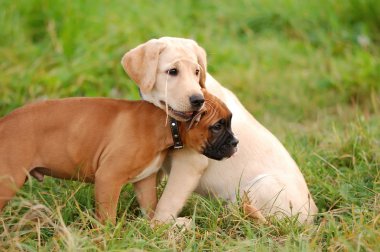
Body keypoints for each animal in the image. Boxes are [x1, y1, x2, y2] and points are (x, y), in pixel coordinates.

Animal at [0, 89, 238, 222]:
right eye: (217, 126)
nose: (235, 143)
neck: (164, 124)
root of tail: (4, 123)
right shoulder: (108, 178)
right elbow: (107, 218)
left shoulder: (144, 180)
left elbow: (150, 208)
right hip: (7, 182)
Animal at [122, 36, 318, 223]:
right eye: (172, 71)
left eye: (197, 72)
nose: (198, 100)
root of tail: (310, 220)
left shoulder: (190, 162)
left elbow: (168, 200)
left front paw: (157, 227)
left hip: (264, 185)